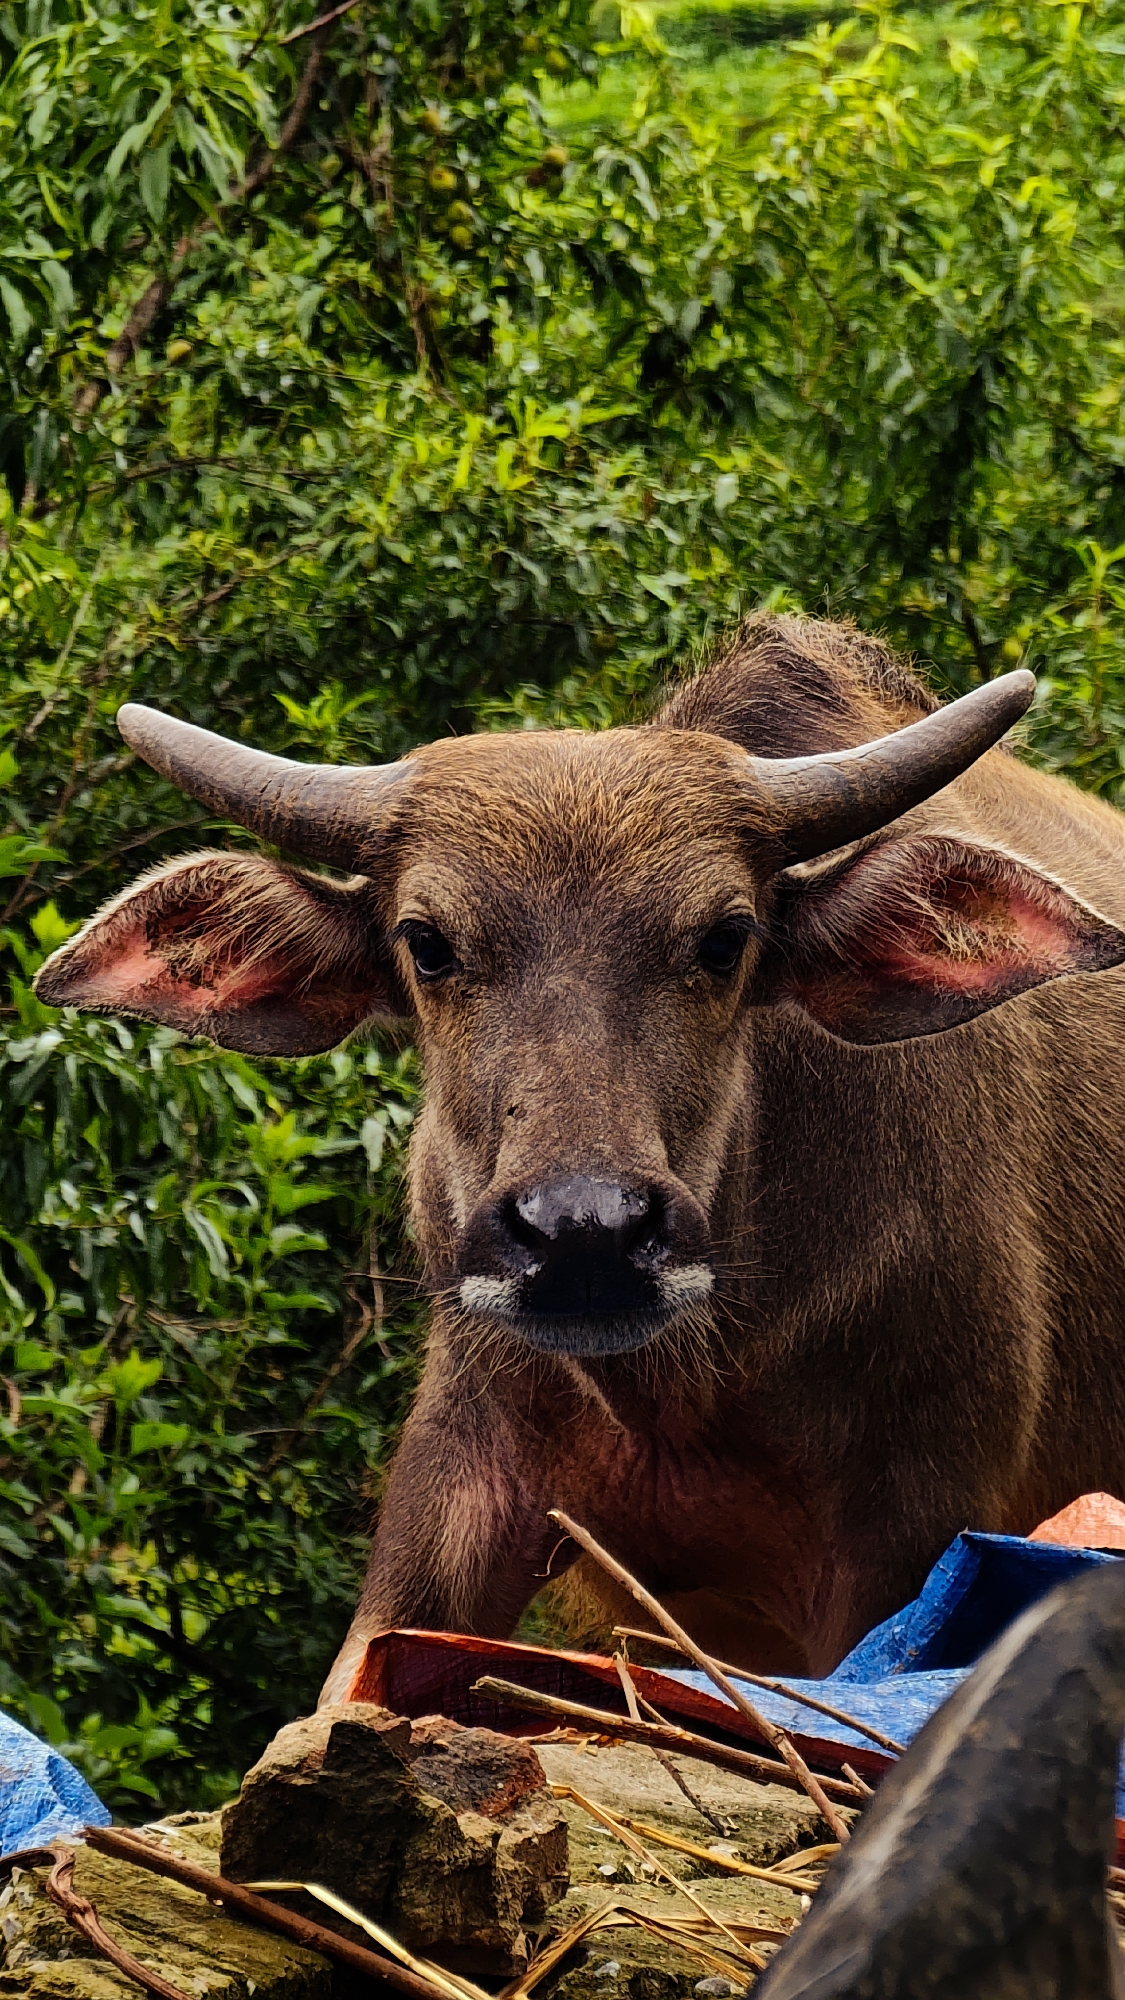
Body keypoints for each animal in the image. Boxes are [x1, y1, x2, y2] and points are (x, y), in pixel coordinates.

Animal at [35, 615, 1125, 1705]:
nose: (584, 1235)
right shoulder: (458, 1478)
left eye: (725, 938)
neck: (678, 1401)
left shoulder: (906, 1540)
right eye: (426, 942)